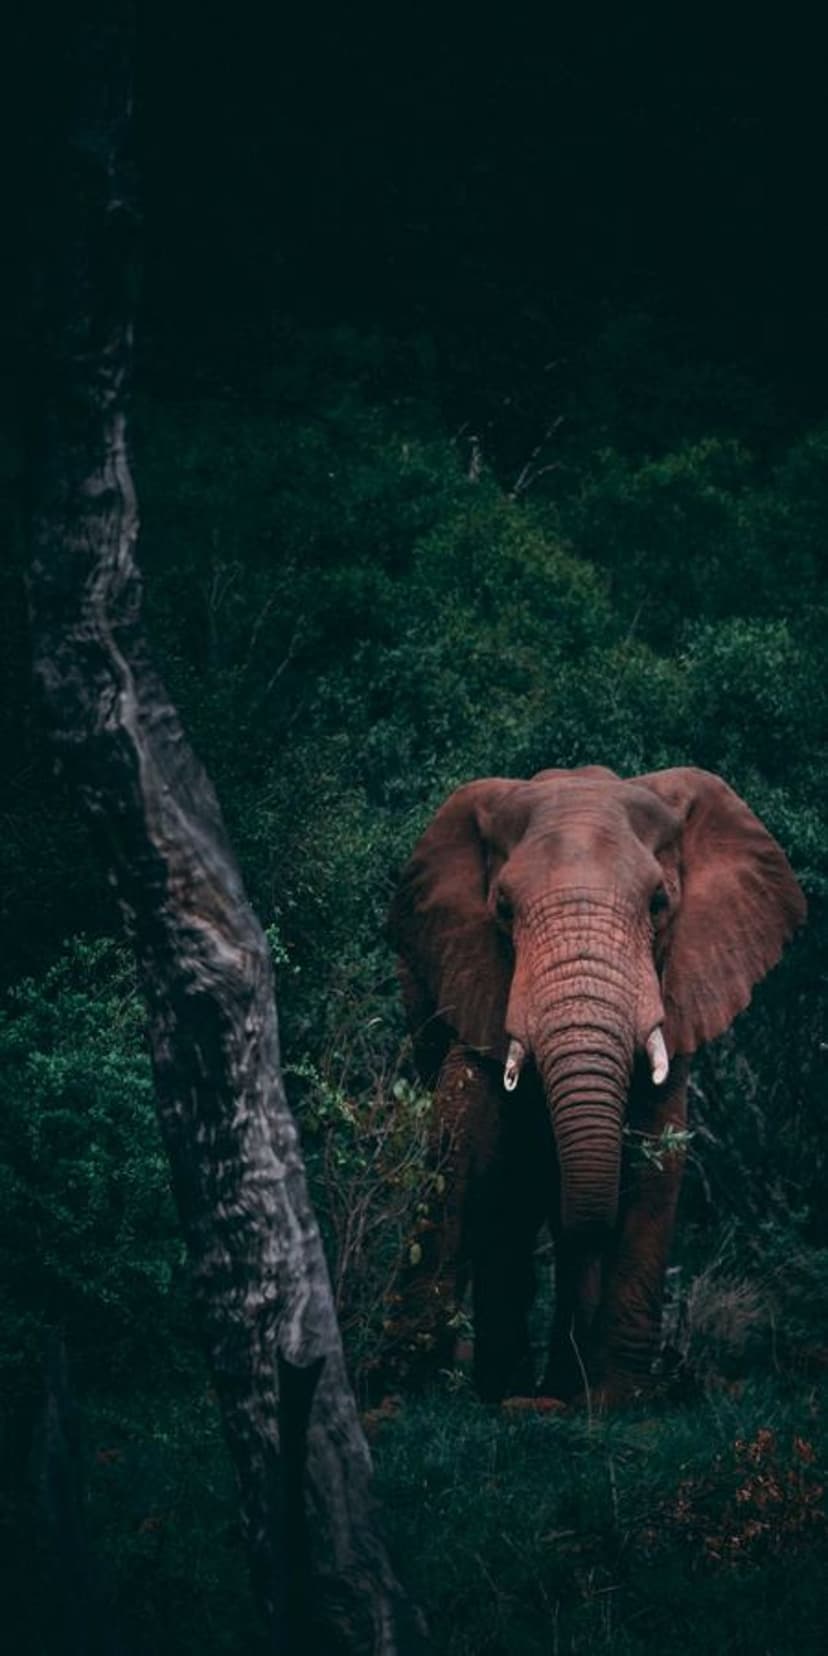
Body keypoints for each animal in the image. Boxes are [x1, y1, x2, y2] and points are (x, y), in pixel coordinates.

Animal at [387, 766, 806, 1406]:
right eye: (502, 908)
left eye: (659, 904)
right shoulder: (470, 971)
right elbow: (463, 1138)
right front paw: (409, 1385)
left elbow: (658, 1153)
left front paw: (616, 1400)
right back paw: (511, 1385)